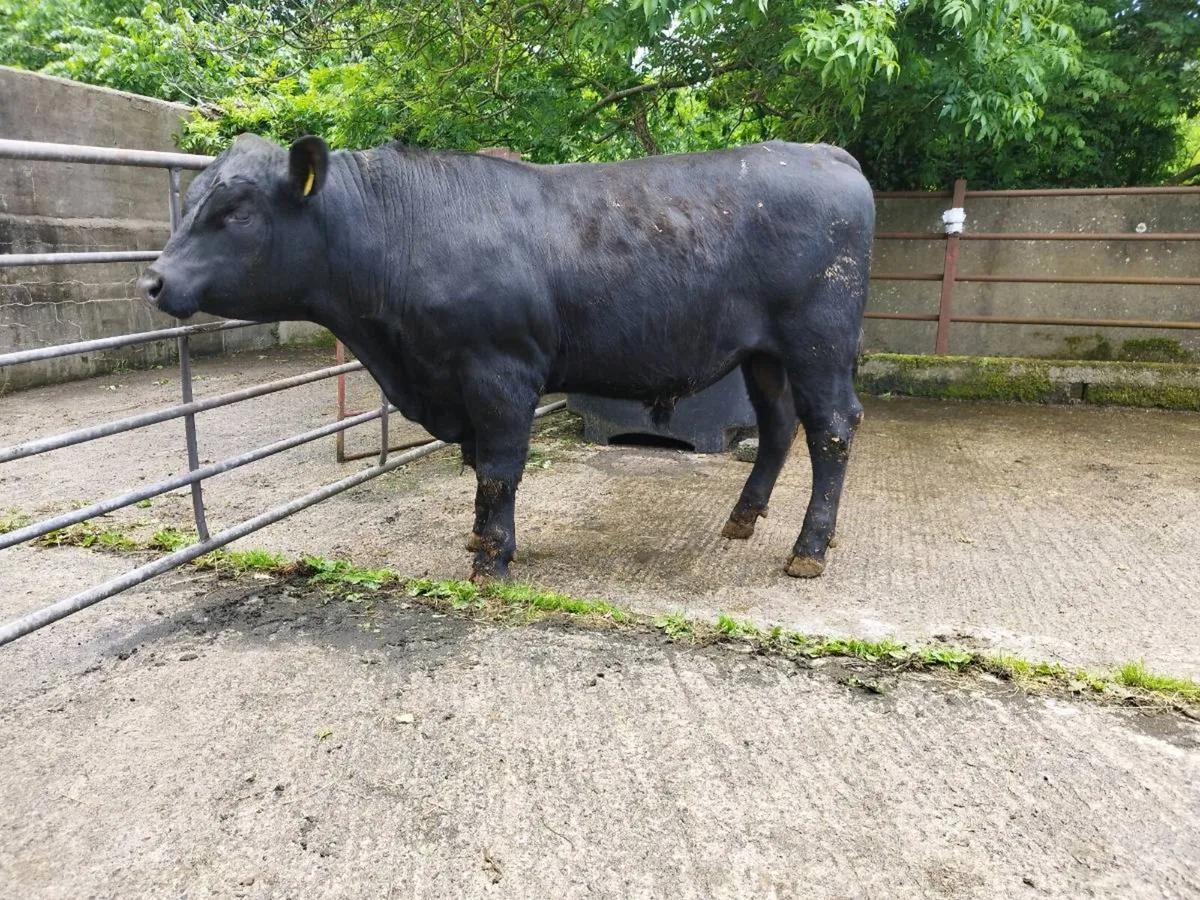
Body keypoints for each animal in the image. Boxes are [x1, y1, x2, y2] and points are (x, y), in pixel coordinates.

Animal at [140, 134, 874, 583]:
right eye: (193, 199)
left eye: (236, 210)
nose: (152, 280)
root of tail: (827, 154)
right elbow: (480, 469)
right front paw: (479, 540)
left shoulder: (499, 371)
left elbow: (497, 470)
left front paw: (489, 561)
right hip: (765, 354)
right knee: (780, 427)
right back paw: (743, 520)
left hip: (819, 341)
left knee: (833, 430)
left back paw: (808, 549)